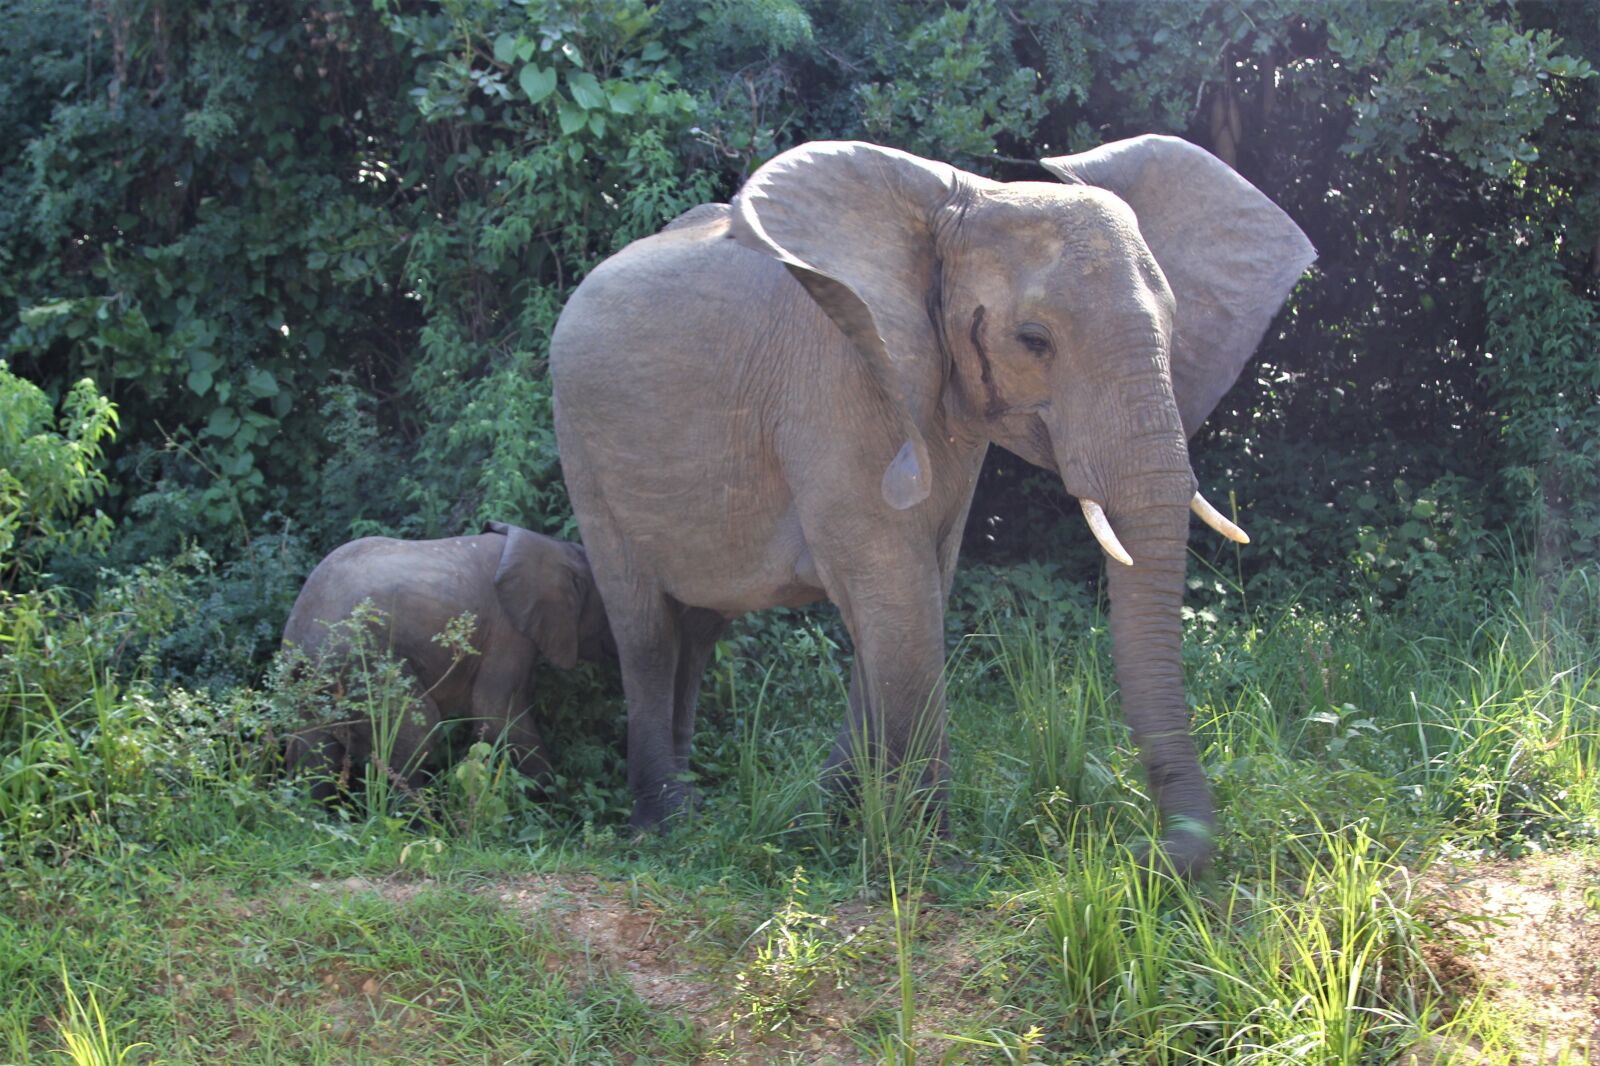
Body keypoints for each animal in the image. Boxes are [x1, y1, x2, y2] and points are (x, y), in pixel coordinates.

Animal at [281, 521, 612, 797]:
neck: (553, 548)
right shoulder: (507, 629)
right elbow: (494, 709)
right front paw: (551, 800)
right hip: (362, 659)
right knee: (418, 729)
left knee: (313, 750)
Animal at [549, 135, 1314, 875]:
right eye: (1034, 341)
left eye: (1175, 325)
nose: (1144, 853)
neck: (964, 209)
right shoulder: (839, 381)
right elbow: (898, 591)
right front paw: (930, 861)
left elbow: (913, 594)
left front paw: (837, 819)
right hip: (581, 442)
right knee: (646, 630)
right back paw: (667, 823)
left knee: (699, 628)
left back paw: (696, 807)